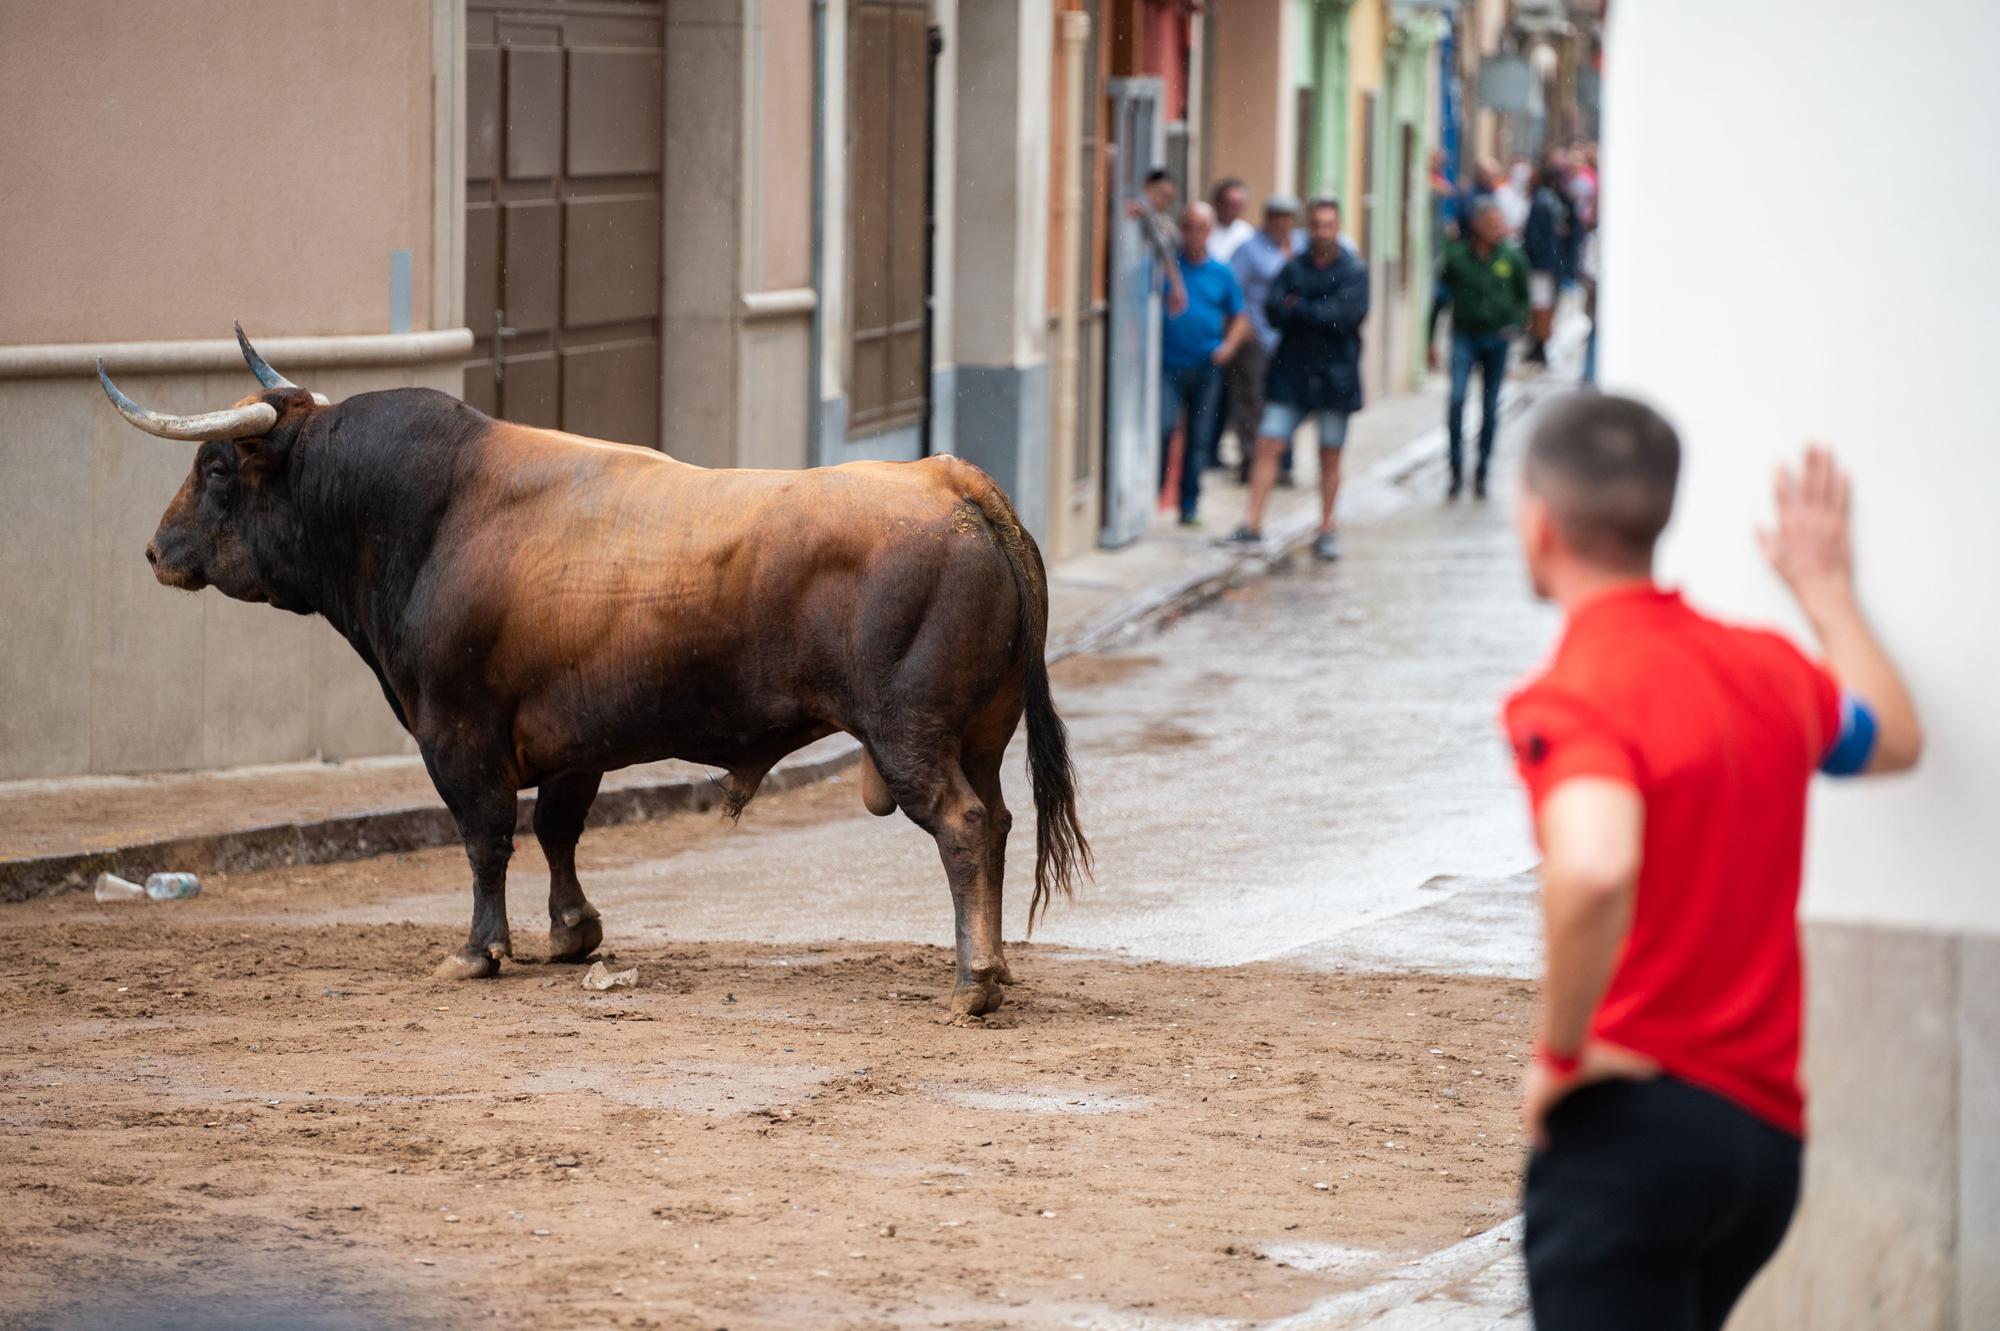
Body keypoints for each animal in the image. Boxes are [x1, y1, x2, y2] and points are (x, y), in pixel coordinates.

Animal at [99, 325, 1088, 1011]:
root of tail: (952, 481)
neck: (429, 512)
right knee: (999, 822)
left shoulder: (456, 729)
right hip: (980, 735)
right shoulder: (571, 741)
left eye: (215, 467)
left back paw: (973, 981)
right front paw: (575, 932)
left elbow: (486, 836)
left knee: (963, 826)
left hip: (911, 735)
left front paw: (478, 950)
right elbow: (557, 829)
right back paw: (995, 964)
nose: (153, 550)